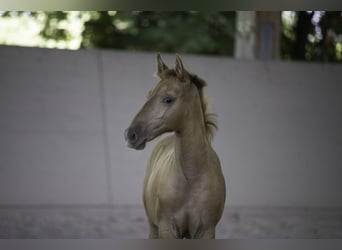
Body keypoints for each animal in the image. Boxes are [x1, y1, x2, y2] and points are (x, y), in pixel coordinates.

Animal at [124, 53, 226, 238]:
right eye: (148, 96)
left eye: (168, 99)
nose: (130, 134)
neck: (192, 179)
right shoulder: (166, 228)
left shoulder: (206, 230)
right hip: (153, 228)